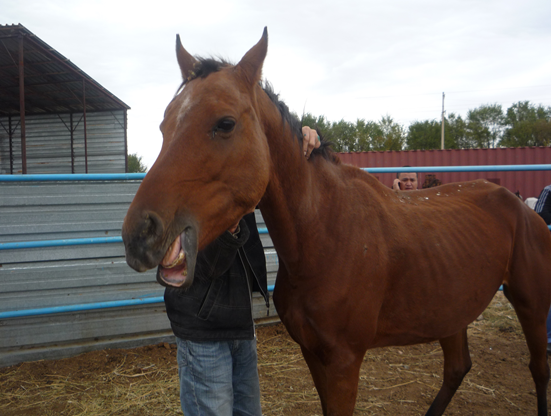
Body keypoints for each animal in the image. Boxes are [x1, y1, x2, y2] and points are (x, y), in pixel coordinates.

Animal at [123, 29, 548, 412]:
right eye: (164, 125)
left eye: (224, 123)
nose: (138, 235)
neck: (325, 232)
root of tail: (520, 204)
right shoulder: (314, 355)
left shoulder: (344, 362)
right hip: (452, 310)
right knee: (458, 369)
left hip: (530, 301)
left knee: (538, 369)